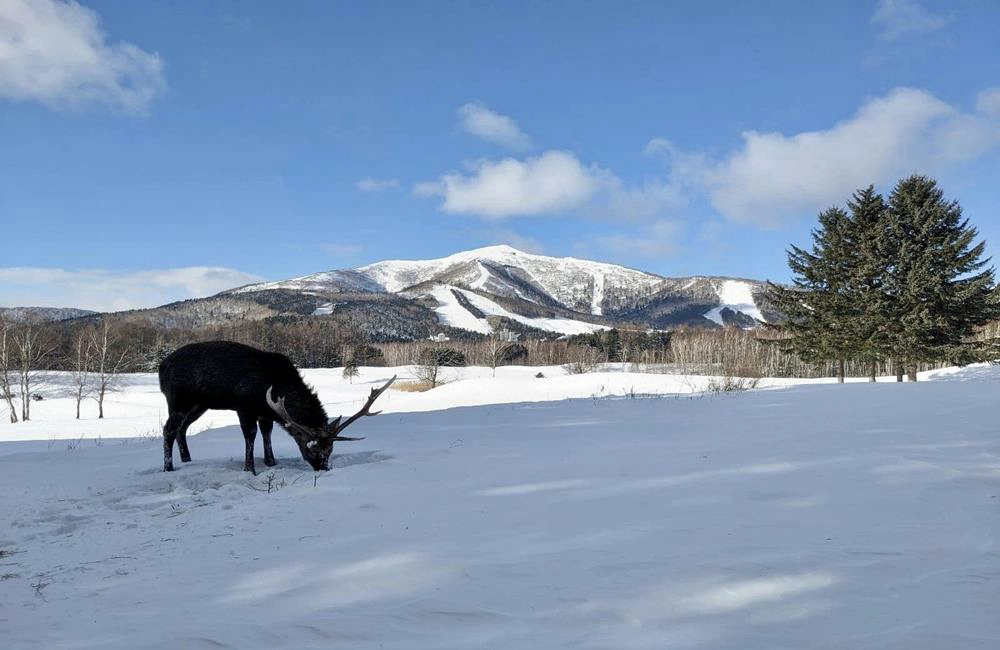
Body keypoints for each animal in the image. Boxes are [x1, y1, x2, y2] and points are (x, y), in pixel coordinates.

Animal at [157, 340, 394, 470]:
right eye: (313, 448)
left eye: (331, 449)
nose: (324, 469)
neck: (276, 386)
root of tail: (161, 368)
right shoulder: (245, 406)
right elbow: (251, 435)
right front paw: (250, 468)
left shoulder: (265, 412)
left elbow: (267, 434)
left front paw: (271, 462)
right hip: (178, 400)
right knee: (168, 429)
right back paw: (168, 466)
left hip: (199, 404)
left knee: (182, 428)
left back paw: (187, 459)